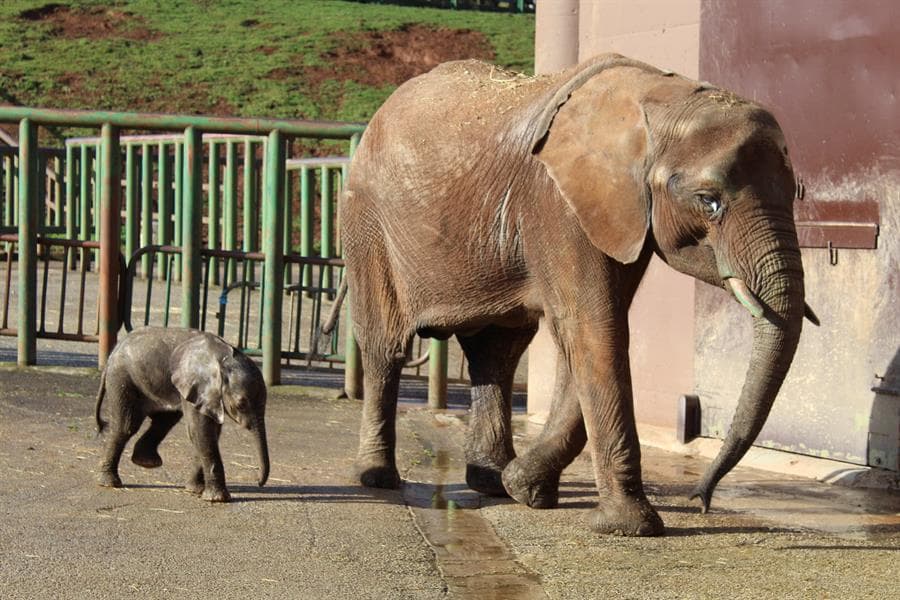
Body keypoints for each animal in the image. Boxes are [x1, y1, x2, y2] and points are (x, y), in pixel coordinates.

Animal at [95, 327, 269, 502]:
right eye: (241, 405)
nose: (258, 481)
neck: (222, 358)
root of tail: (112, 353)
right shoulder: (195, 387)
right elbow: (200, 431)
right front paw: (217, 499)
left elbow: (208, 433)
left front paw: (196, 490)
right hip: (122, 379)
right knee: (126, 426)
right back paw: (111, 482)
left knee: (165, 420)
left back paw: (146, 462)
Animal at [339, 53, 815, 536]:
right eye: (708, 200)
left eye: (797, 193)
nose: (701, 498)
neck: (658, 101)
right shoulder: (555, 203)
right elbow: (593, 327)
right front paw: (630, 527)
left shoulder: (616, 212)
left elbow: (591, 331)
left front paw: (525, 488)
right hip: (367, 224)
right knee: (385, 347)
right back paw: (378, 477)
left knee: (497, 353)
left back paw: (491, 482)